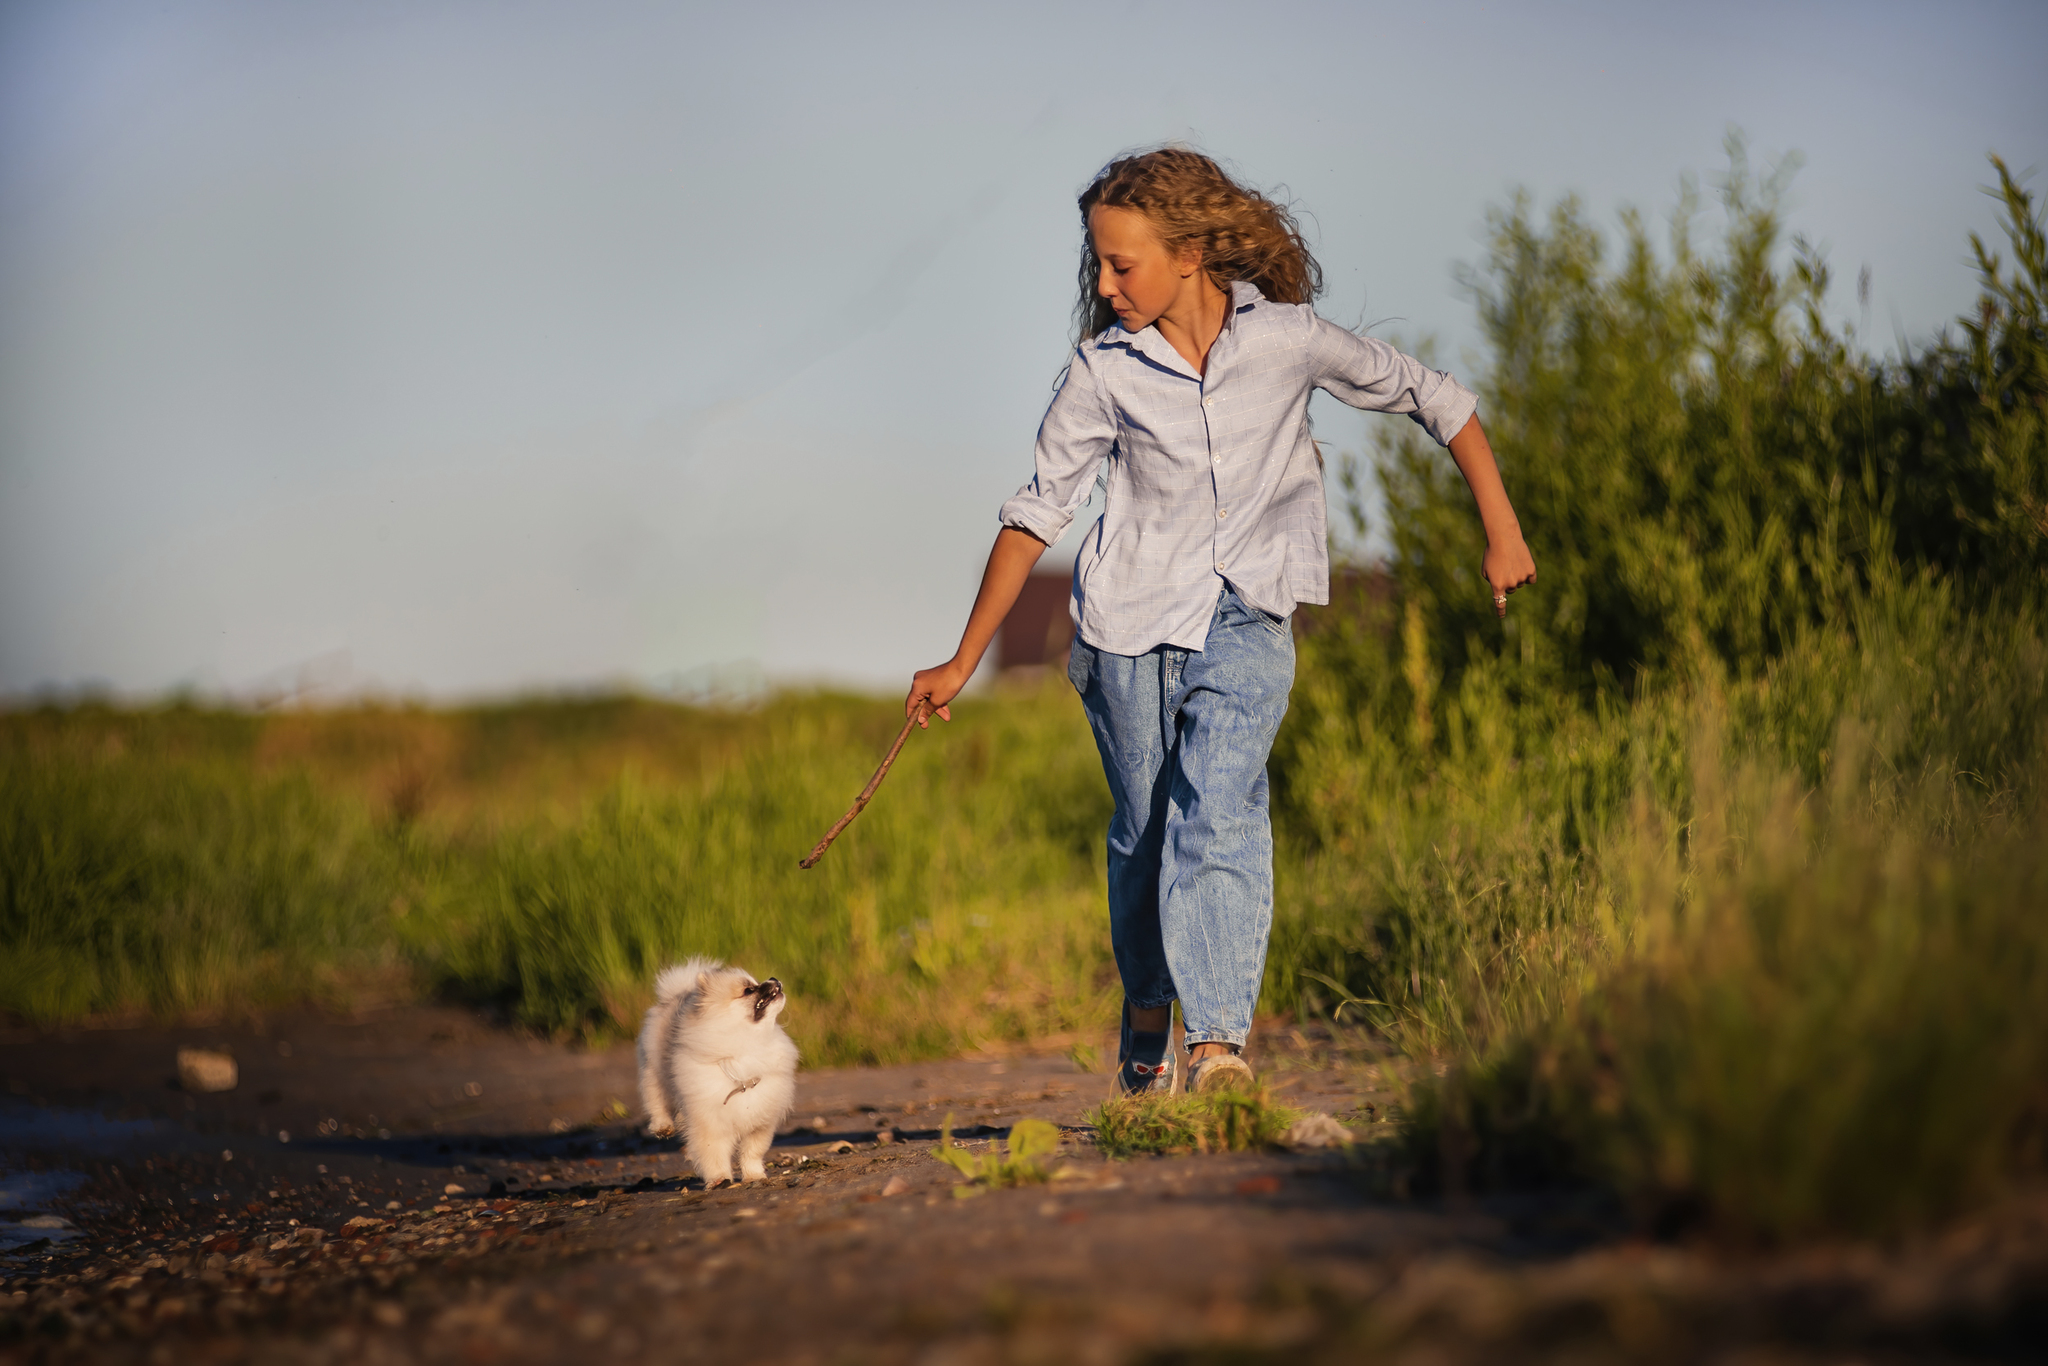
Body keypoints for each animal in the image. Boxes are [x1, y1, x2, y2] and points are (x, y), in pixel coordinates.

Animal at [634, 962, 794, 1187]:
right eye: (748, 990)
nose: (773, 978)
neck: (747, 1045)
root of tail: (673, 996)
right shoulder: (709, 1122)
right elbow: (713, 1154)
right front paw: (719, 1178)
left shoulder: (760, 1120)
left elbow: (752, 1152)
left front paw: (754, 1175)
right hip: (654, 1070)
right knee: (656, 1100)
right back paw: (662, 1126)